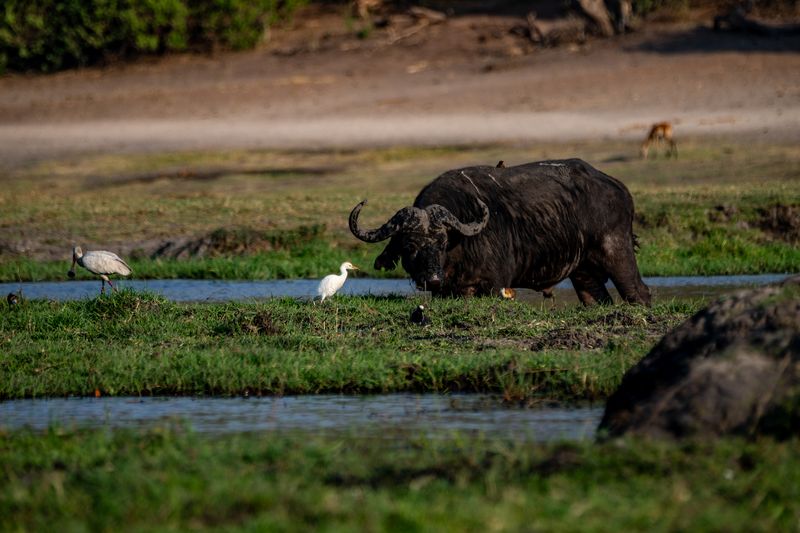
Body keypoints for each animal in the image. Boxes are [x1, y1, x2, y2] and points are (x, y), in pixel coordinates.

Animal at [350, 157, 648, 304]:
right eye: (410, 246)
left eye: (442, 242)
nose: (432, 279)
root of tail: (617, 187)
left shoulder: (495, 285)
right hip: (583, 272)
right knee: (597, 299)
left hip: (618, 253)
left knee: (638, 292)